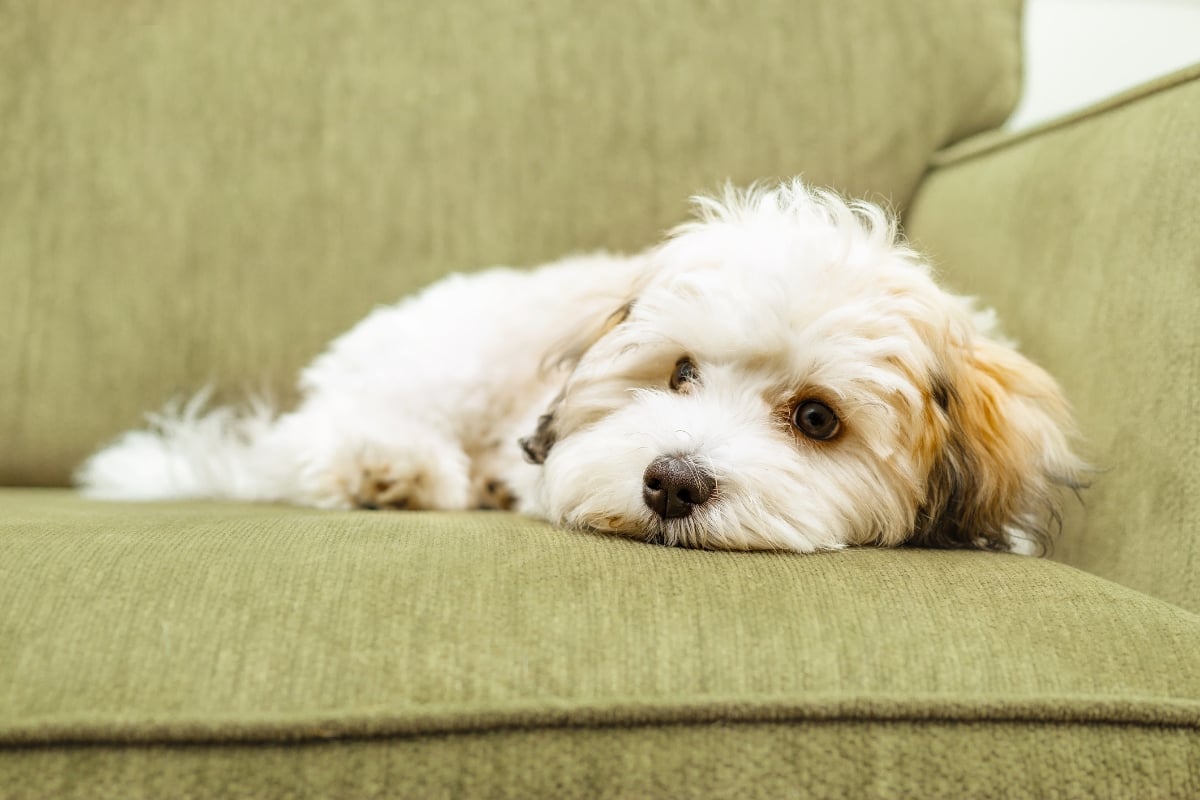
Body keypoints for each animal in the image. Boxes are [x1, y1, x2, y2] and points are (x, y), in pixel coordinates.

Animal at [77, 179, 1089, 556]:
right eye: (680, 373)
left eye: (816, 419)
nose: (671, 483)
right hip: (443, 365)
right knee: (313, 440)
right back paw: (391, 469)